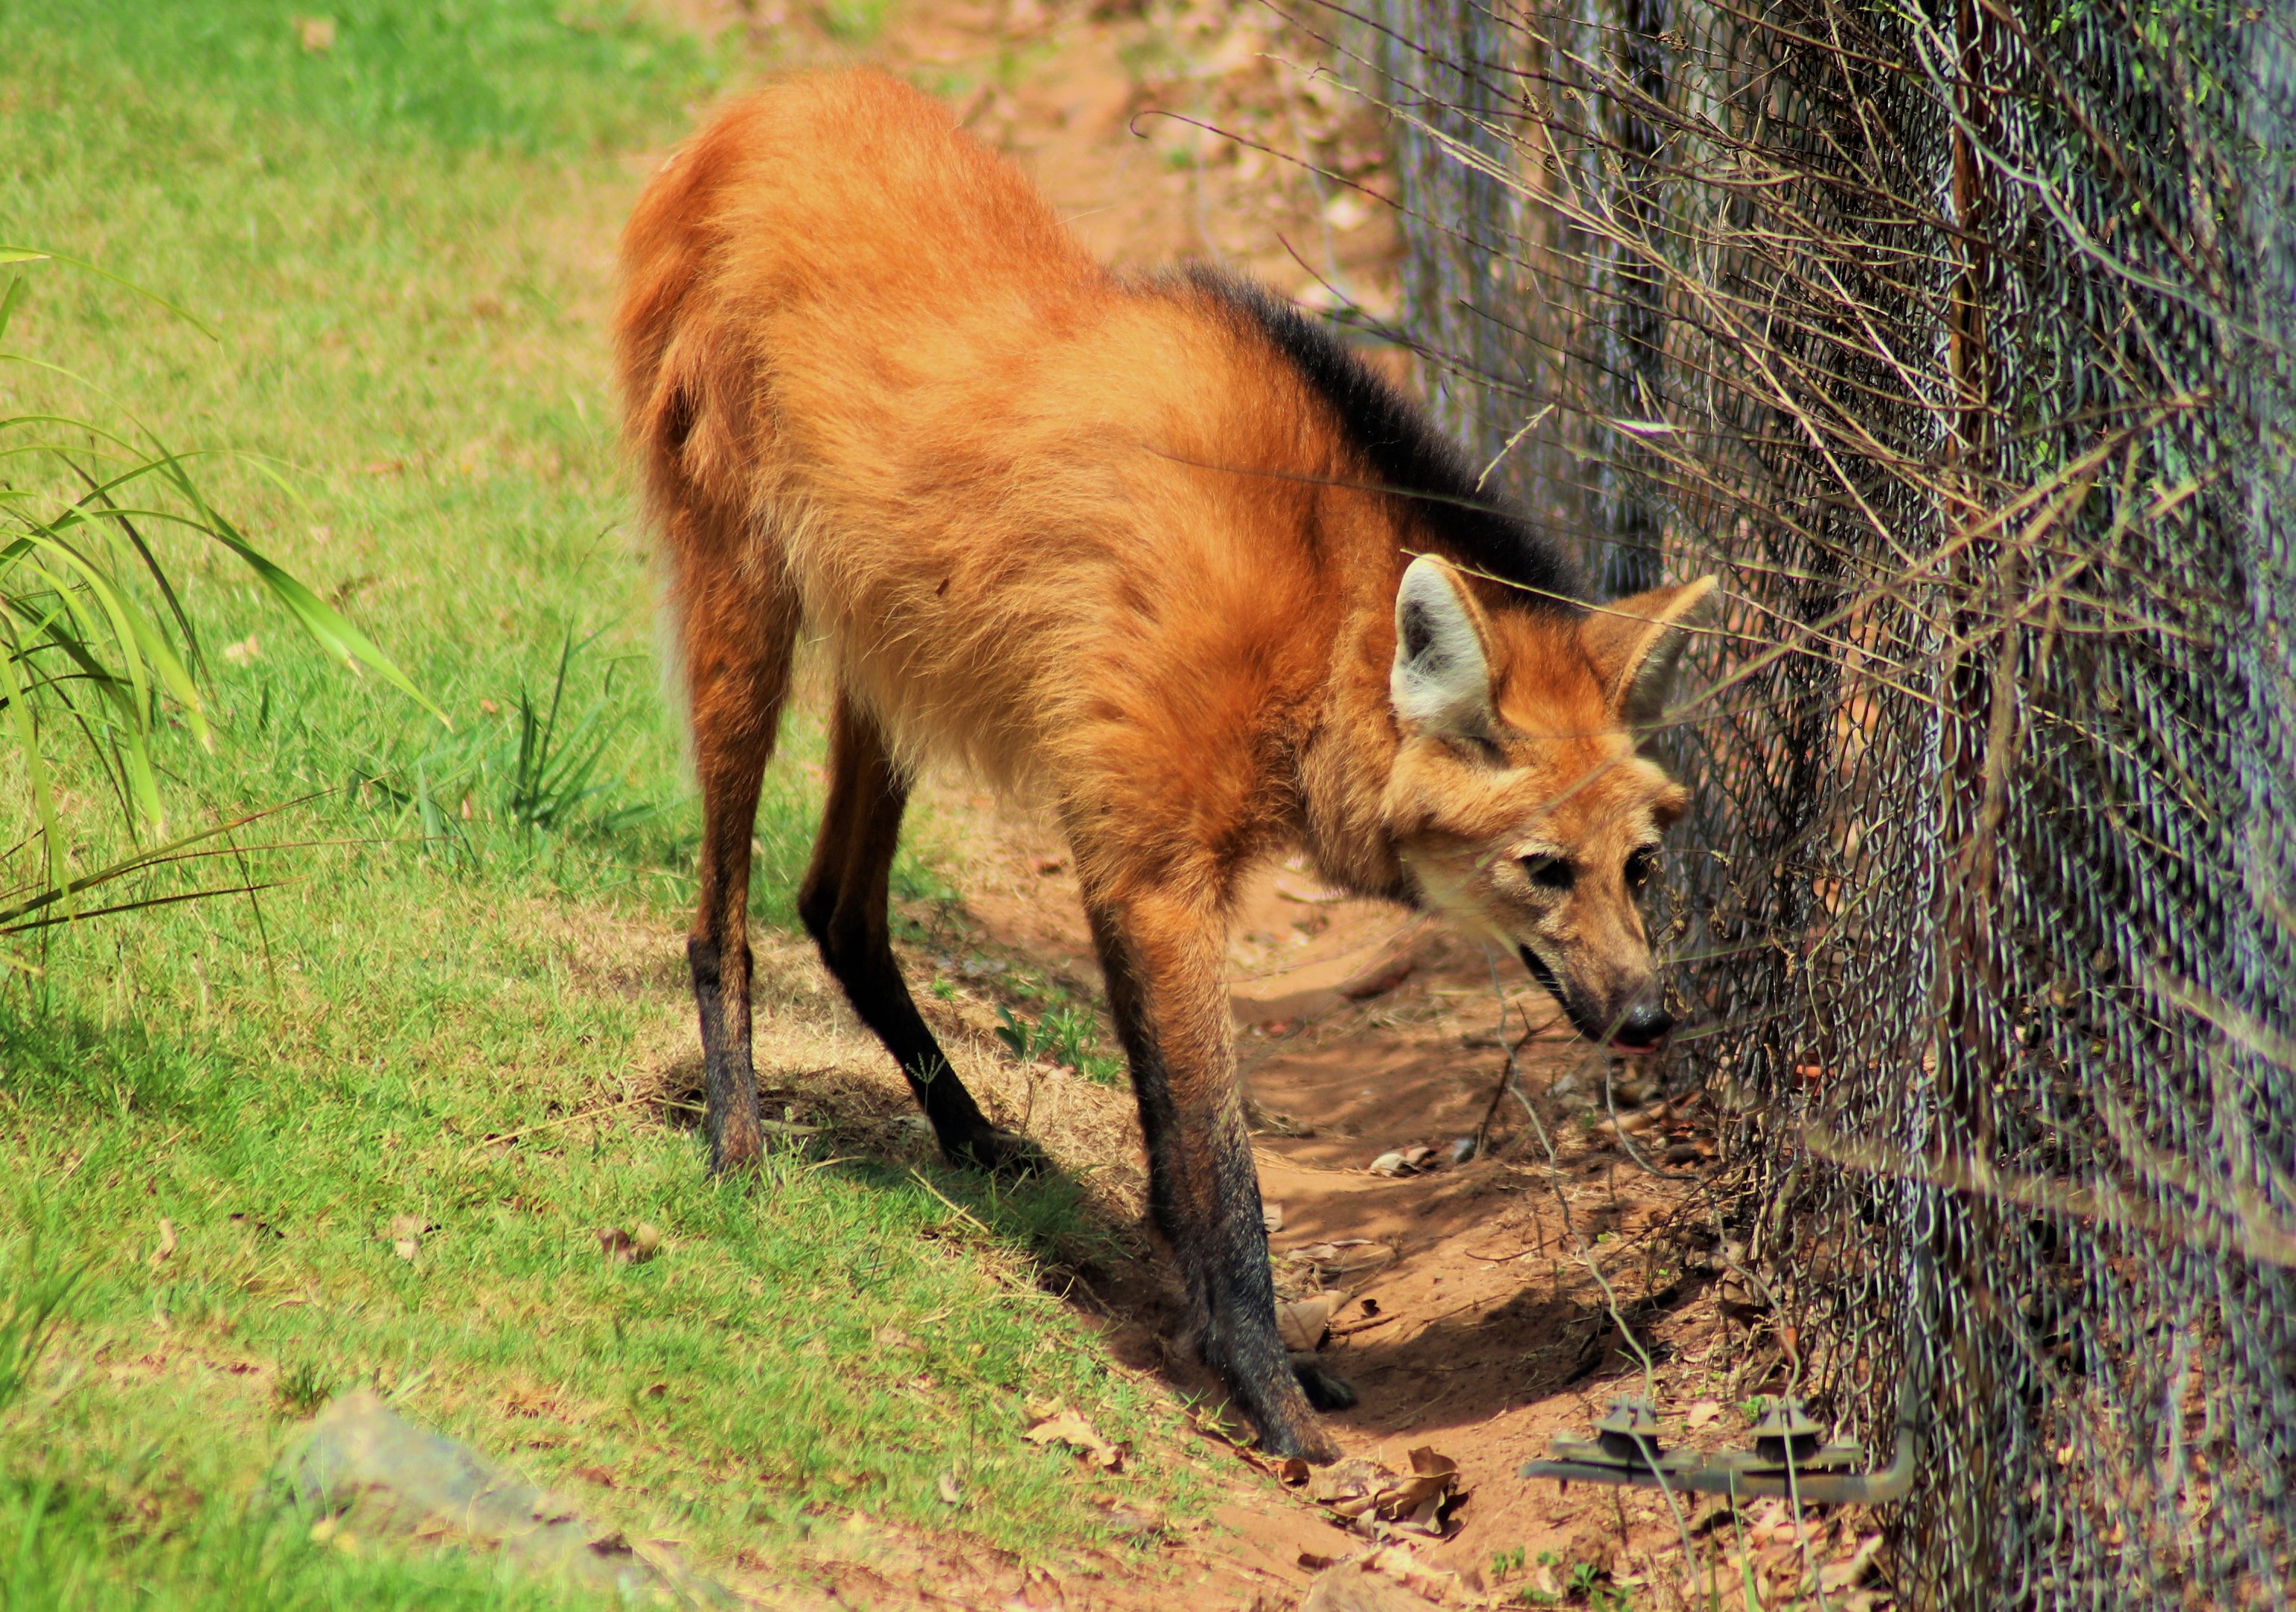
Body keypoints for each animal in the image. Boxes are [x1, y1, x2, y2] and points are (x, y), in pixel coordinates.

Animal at [615, 69, 1712, 1463]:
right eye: (1543, 869)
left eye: (1641, 868)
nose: (1648, 1017)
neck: (1311, 599)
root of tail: (767, 100)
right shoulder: (1156, 869)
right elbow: (1216, 1160)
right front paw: (1271, 1392)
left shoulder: (1133, 854)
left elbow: (1165, 1132)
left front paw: (1236, 1342)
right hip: (747, 602)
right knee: (725, 918)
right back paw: (739, 1143)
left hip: (891, 644)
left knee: (839, 907)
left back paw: (970, 1132)